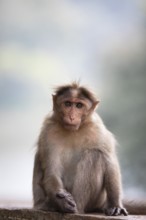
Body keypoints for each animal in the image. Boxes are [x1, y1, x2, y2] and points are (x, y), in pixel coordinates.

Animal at [32, 81, 146, 216]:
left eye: (79, 105)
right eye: (67, 104)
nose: (71, 116)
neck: (73, 131)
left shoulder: (98, 129)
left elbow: (110, 164)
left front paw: (115, 205)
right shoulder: (48, 131)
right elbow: (51, 171)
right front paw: (62, 201)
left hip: (95, 200)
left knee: (95, 154)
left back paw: (77, 209)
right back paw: (50, 205)